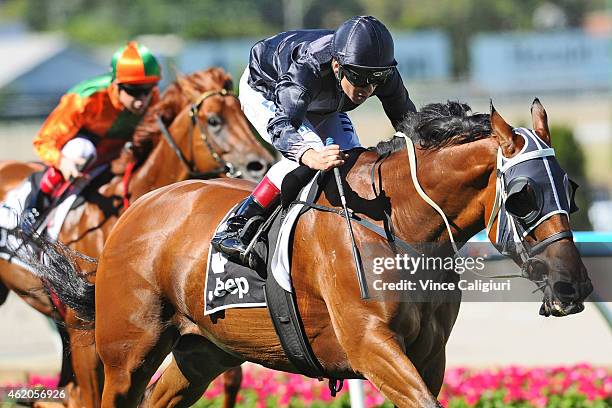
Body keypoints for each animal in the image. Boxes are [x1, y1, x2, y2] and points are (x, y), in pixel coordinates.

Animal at [25, 99, 592, 408]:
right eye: (521, 197)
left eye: (570, 188)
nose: (573, 287)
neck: (401, 224)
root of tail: (135, 210)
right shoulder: (371, 345)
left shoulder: (429, 355)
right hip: (127, 353)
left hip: (203, 352)